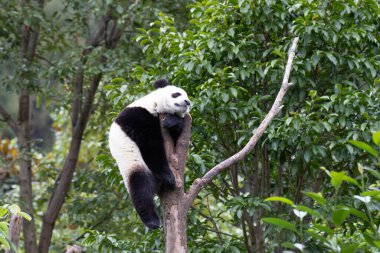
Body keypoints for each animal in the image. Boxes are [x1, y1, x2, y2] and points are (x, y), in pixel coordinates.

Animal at [107, 79, 190, 229]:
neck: (154, 105)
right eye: (177, 94)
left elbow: (176, 139)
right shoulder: (138, 116)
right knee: (140, 186)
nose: (188, 102)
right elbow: (151, 146)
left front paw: (172, 121)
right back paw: (152, 221)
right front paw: (168, 176)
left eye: (187, 95)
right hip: (132, 162)